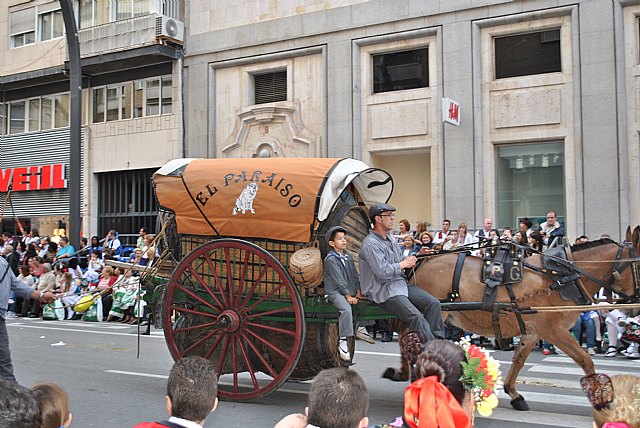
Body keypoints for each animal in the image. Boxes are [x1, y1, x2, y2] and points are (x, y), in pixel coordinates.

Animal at [396, 227, 640, 412]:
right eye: (638, 265)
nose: (632, 310)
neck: (561, 277)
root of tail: (423, 261)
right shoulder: (555, 331)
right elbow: (585, 360)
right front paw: (601, 398)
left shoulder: (532, 332)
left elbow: (519, 360)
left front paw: (513, 393)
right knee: (412, 340)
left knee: (407, 339)